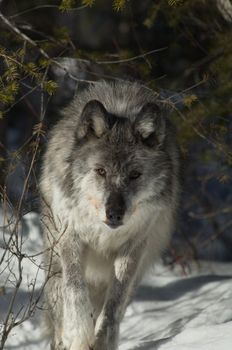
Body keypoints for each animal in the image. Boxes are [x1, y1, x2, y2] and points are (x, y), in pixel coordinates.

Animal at [40, 80, 180, 350]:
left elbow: (114, 304)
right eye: (101, 171)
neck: (102, 232)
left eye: (134, 175)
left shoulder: (133, 247)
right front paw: (79, 334)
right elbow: (75, 289)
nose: (114, 214)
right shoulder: (70, 236)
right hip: (53, 264)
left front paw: (102, 340)